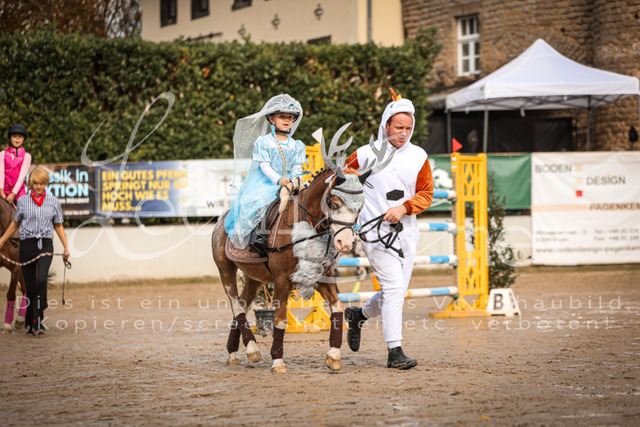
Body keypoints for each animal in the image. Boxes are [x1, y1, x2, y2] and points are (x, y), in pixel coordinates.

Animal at [211, 126, 392, 372]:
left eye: (361, 207)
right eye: (333, 203)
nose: (345, 243)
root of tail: (222, 220)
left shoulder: (320, 276)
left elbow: (336, 307)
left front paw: (334, 355)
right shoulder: (281, 280)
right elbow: (279, 319)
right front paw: (278, 361)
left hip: (255, 277)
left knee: (241, 305)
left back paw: (237, 352)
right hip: (226, 269)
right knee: (235, 304)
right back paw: (252, 350)